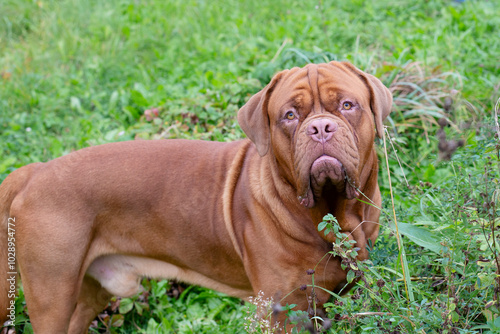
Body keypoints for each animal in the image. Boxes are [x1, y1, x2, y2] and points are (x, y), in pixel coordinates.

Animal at [0, 61, 390, 332]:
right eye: (289, 115)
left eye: (347, 105)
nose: (320, 127)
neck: (331, 212)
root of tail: (34, 171)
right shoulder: (281, 309)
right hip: (52, 293)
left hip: (89, 291)